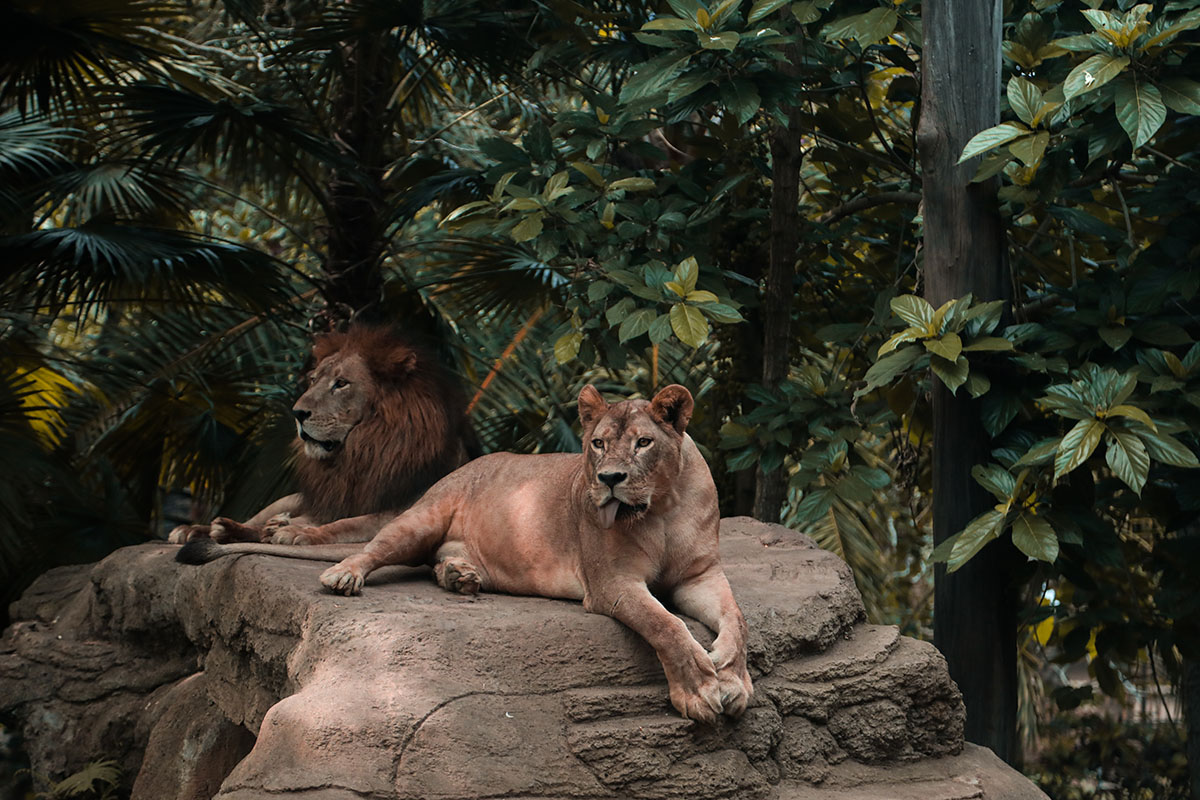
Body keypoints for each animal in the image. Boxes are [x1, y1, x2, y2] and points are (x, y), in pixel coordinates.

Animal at [168, 323, 472, 544]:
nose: (297, 413)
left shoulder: (400, 511)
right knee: (254, 521)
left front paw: (297, 532)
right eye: (314, 380)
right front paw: (289, 528)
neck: (365, 448)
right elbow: (334, 519)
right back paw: (199, 529)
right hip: (287, 499)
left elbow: (345, 524)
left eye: (341, 383)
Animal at [176, 383, 748, 724]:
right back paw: (342, 574)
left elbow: (736, 619)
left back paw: (460, 575)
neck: (662, 506)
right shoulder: (612, 584)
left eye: (644, 443)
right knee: (373, 548)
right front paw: (700, 690)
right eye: (598, 445)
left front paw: (732, 676)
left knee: (433, 561)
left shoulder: (700, 574)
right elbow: (664, 625)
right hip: (420, 517)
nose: (609, 479)